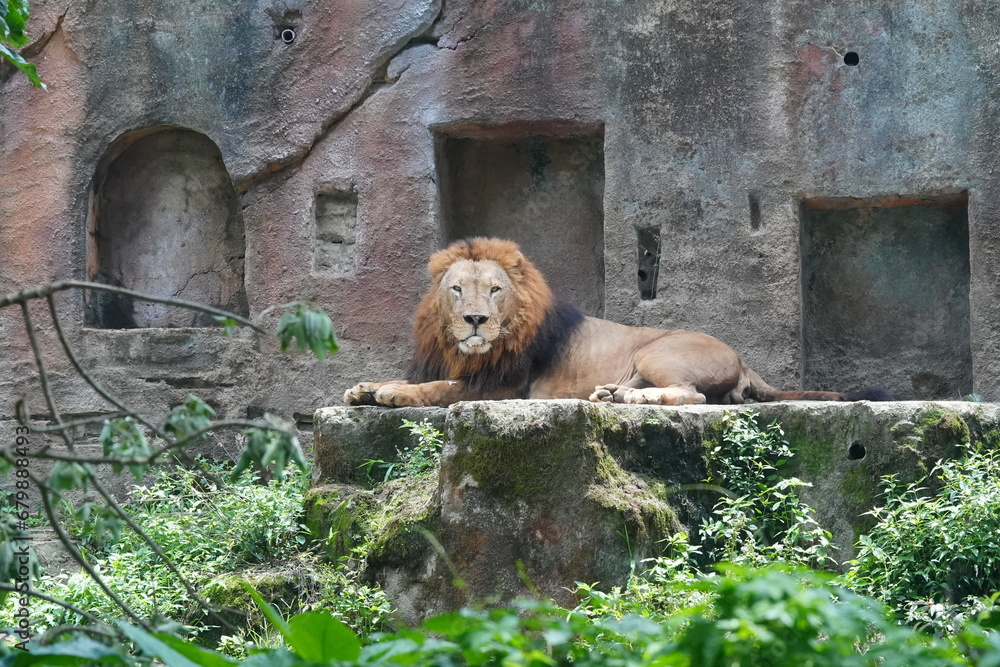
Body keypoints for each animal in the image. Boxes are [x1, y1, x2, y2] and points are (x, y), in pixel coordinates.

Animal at [344, 238, 892, 408]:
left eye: (495, 290)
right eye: (456, 289)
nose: (475, 320)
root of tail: (743, 358)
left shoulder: (507, 388)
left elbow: (441, 388)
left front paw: (392, 394)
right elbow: (423, 378)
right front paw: (364, 387)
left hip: (656, 350)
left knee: (692, 397)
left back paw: (634, 399)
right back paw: (612, 393)